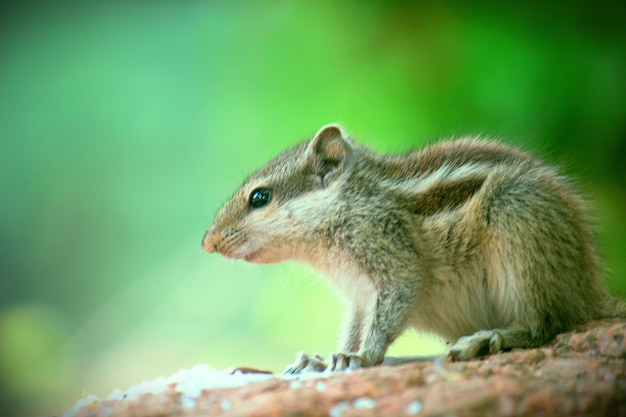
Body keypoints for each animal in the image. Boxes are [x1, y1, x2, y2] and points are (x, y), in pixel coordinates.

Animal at [201, 122, 624, 372]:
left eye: (259, 197)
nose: (208, 242)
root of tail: (590, 291)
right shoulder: (359, 294)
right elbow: (355, 326)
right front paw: (322, 361)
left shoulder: (394, 258)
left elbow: (389, 311)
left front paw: (362, 357)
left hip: (516, 220)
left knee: (548, 325)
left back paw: (487, 340)